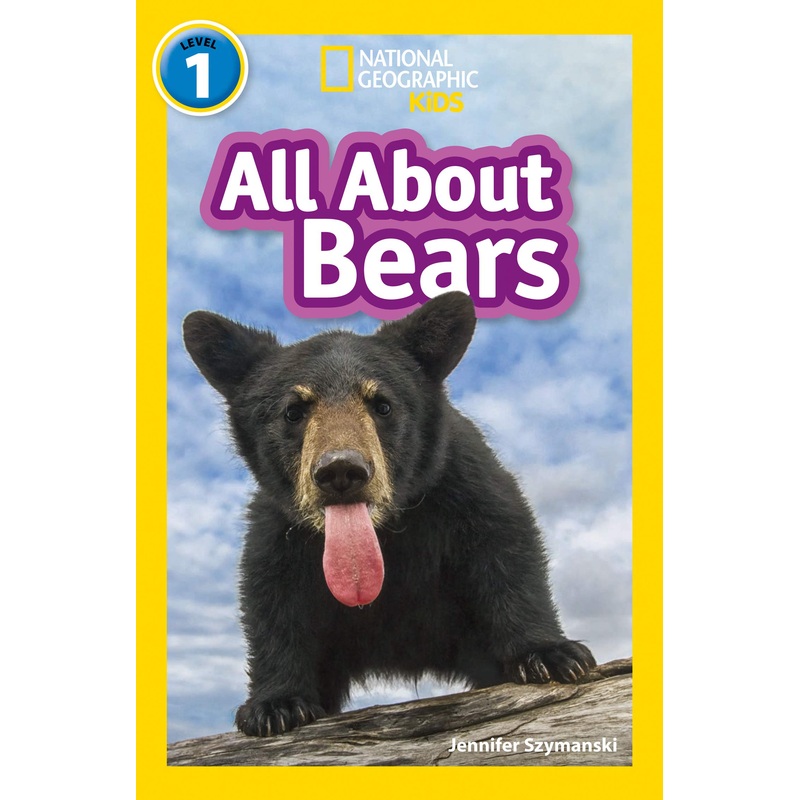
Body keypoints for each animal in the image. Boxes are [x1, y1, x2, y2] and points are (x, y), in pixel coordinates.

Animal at [182, 291, 595, 737]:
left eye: (382, 405)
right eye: (294, 410)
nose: (341, 471)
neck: (386, 533)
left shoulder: (463, 483)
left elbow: (505, 547)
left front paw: (552, 655)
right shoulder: (279, 528)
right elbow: (272, 595)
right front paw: (275, 705)